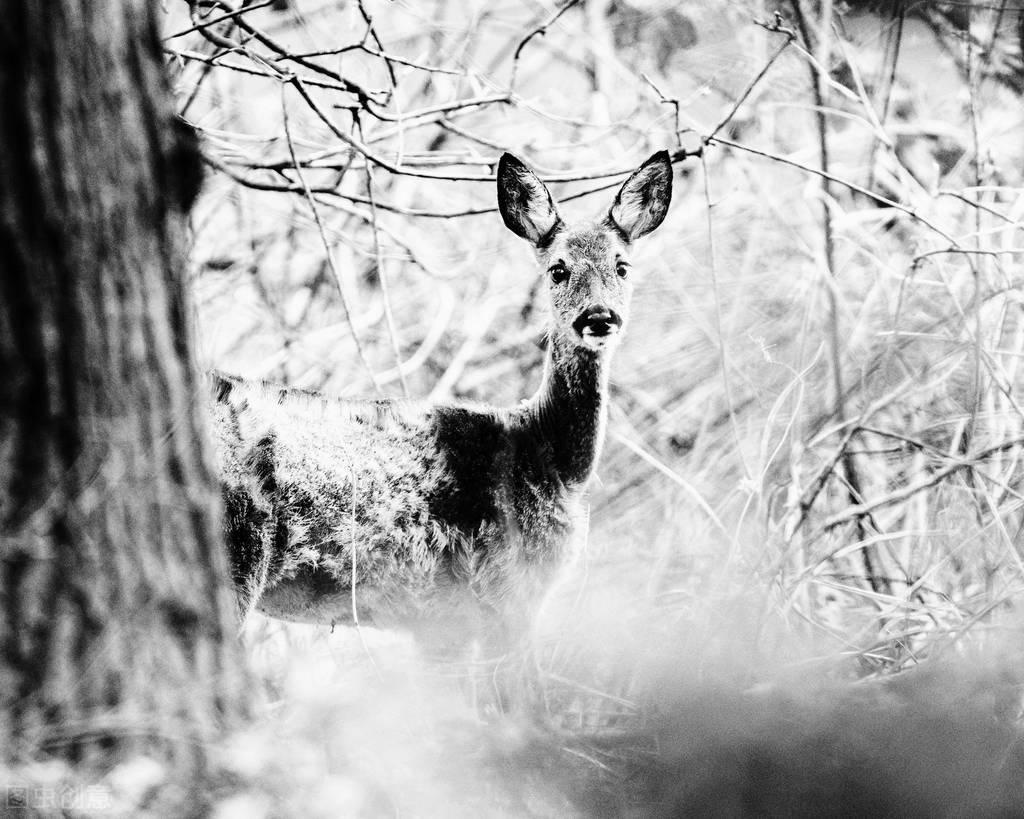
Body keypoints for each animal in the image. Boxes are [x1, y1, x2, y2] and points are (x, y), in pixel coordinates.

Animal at [214, 150, 671, 655]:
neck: (553, 463)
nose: (599, 317)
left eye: (623, 266)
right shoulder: (506, 591)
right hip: (237, 552)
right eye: (558, 269)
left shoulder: (439, 622)